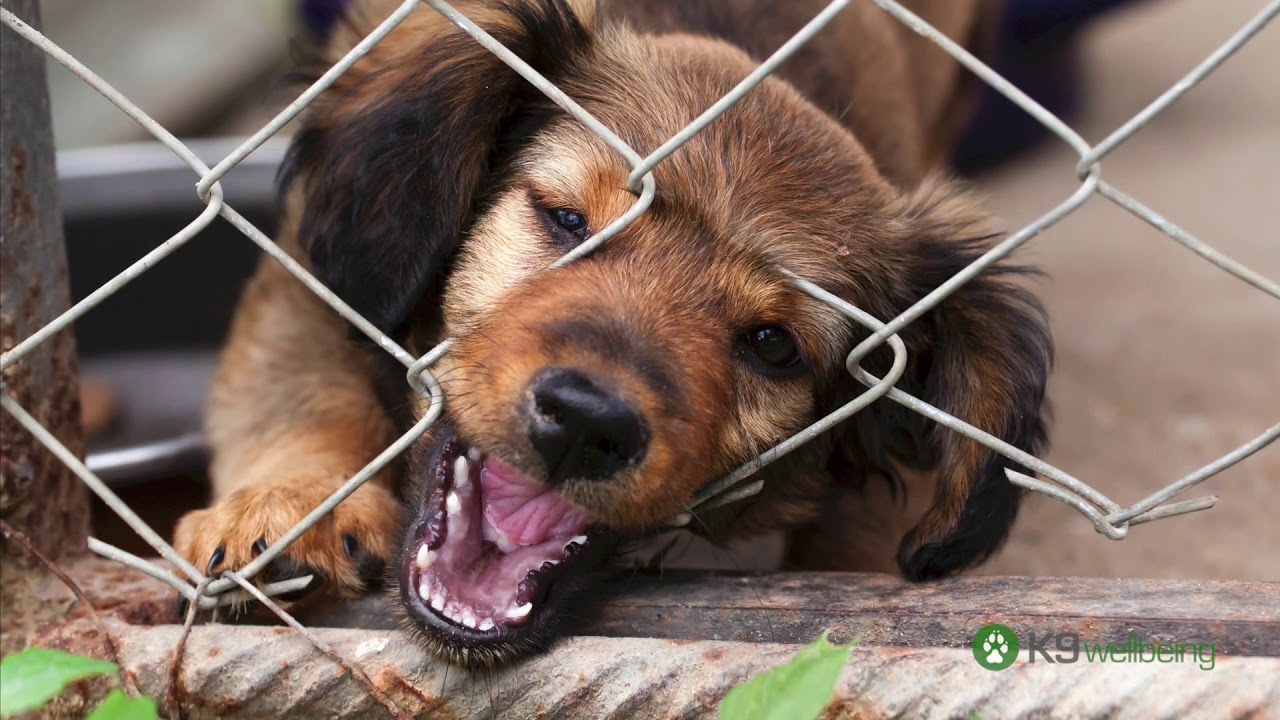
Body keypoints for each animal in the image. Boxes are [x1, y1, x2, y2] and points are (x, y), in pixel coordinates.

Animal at [172, 0, 1049, 666]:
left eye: (774, 345)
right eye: (565, 219)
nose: (584, 426)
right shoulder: (310, 272)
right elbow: (303, 387)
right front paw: (291, 507)